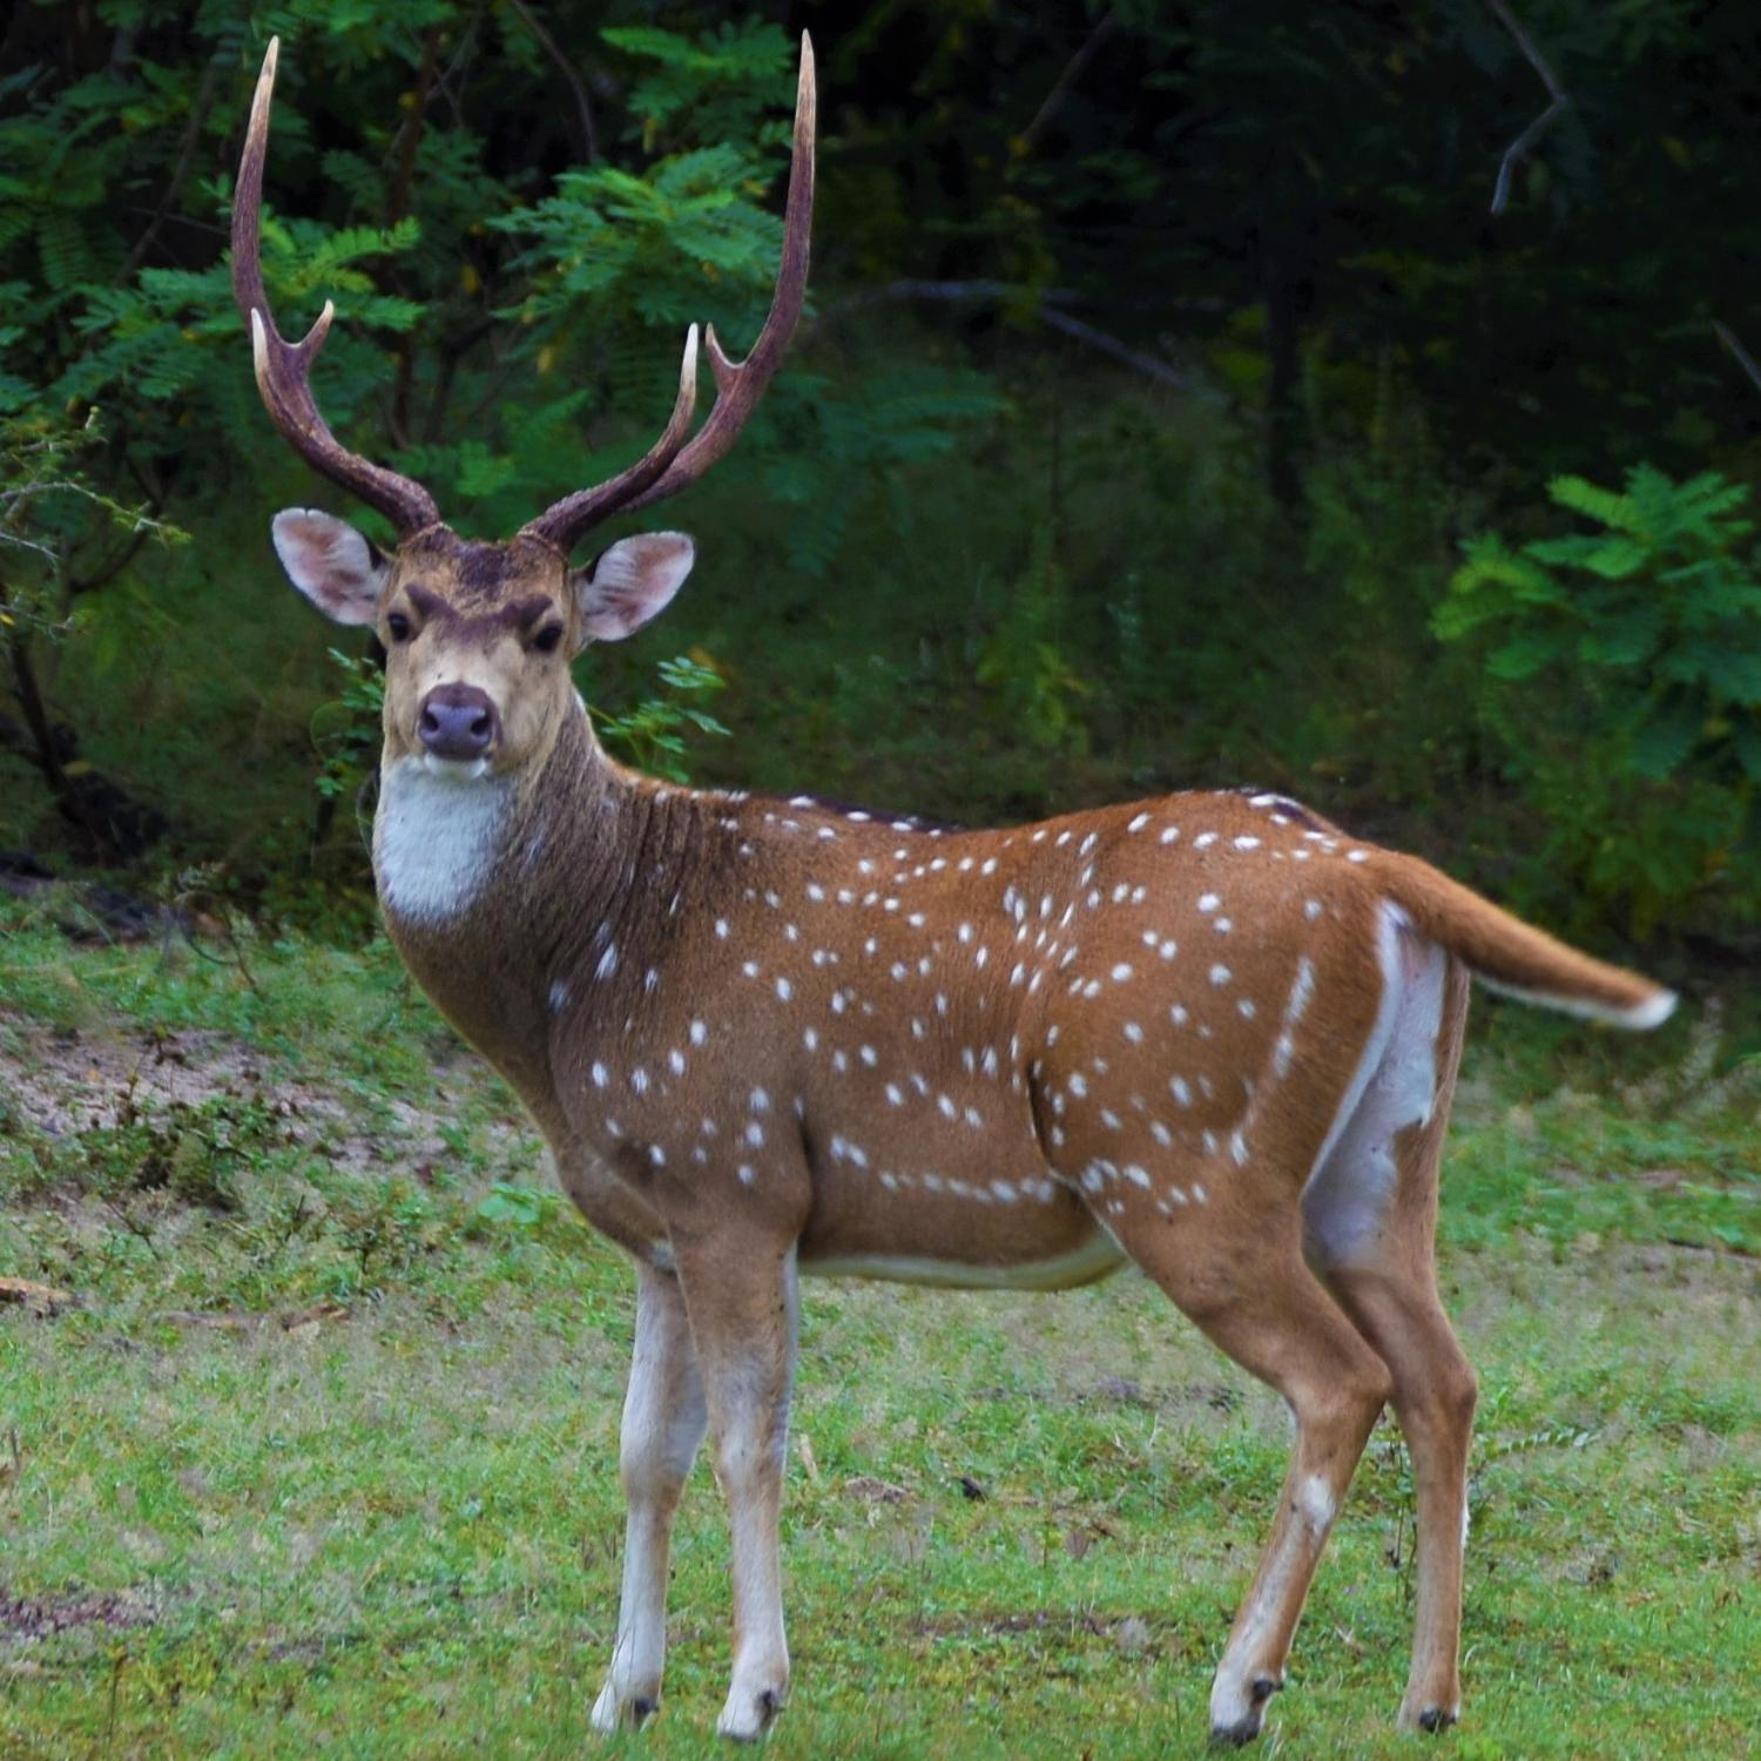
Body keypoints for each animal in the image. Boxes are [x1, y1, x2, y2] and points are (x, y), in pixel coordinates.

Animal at [234, 34, 1676, 1739]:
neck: (579, 985)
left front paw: (749, 1693)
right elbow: (641, 1452)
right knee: (1448, 1371)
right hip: (1387, 1153)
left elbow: (750, 1443)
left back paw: (1240, 1686)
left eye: (548, 630)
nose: (455, 715)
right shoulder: (651, 1218)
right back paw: (1427, 1699)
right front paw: (618, 1695)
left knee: (1344, 1382)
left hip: (1179, 1147)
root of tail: (1376, 868)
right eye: (394, 619)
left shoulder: (738, 1173)